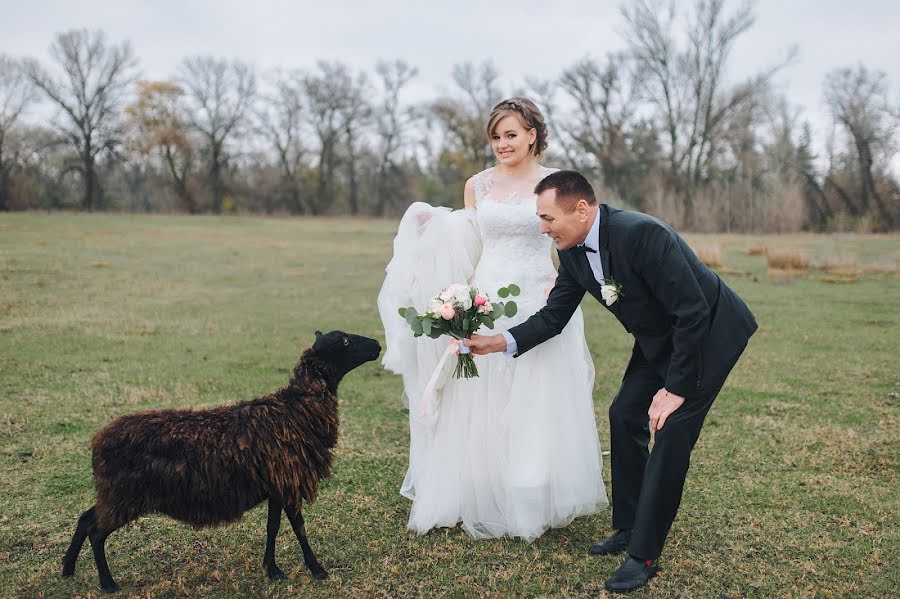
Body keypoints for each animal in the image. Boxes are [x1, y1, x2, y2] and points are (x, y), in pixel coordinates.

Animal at [61, 330, 380, 592]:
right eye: (345, 341)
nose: (377, 345)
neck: (296, 408)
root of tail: (97, 441)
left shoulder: (277, 486)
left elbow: (273, 528)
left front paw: (272, 570)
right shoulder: (288, 480)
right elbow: (299, 528)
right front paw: (317, 569)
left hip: (114, 494)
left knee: (85, 518)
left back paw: (67, 568)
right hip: (123, 495)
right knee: (96, 532)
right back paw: (107, 584)